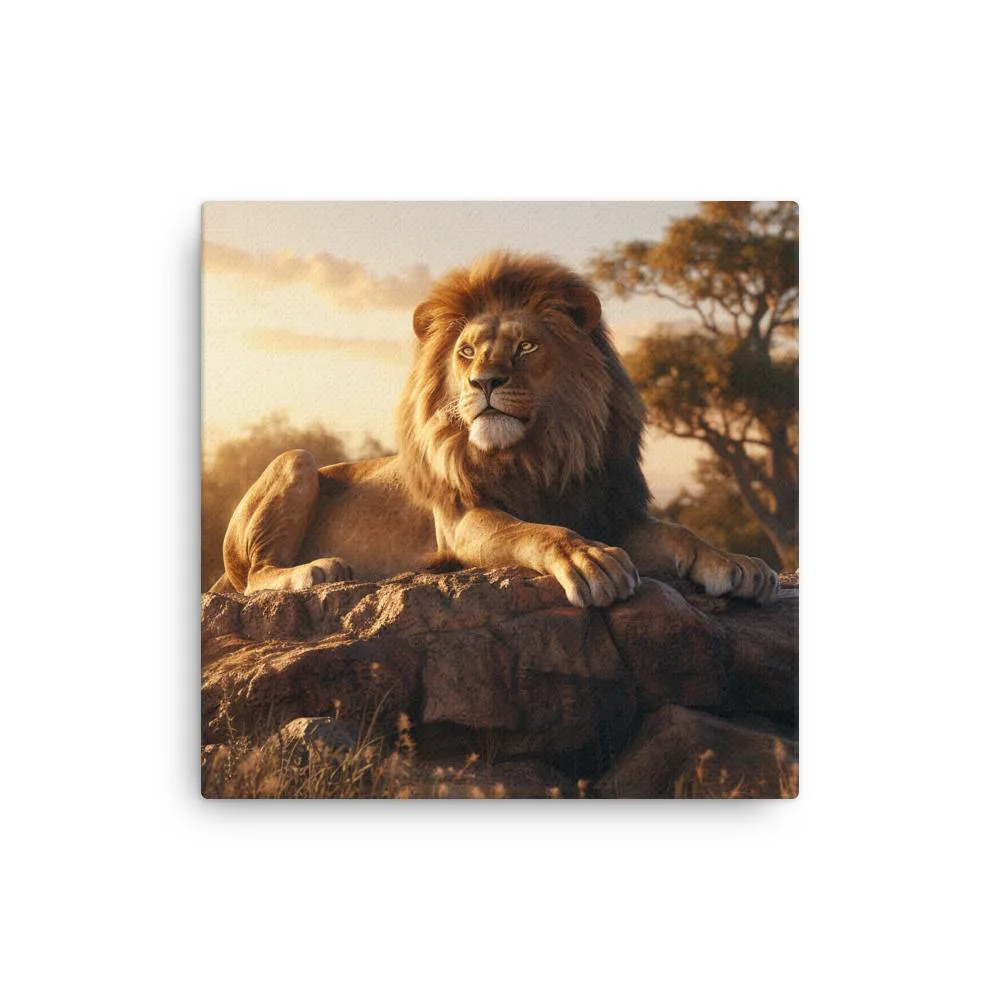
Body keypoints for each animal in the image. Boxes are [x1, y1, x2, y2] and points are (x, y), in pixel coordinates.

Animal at [213, 251, 779, 607]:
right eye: (466, 351)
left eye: (525, 346)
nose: (483, 381)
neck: (543, 452)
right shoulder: (464, 519)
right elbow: (534, 530)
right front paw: (588, 559)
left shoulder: (608, 510)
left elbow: (680, 532)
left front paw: (740, 563)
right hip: (296, 460)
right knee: (254, 576)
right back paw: (316, 571)